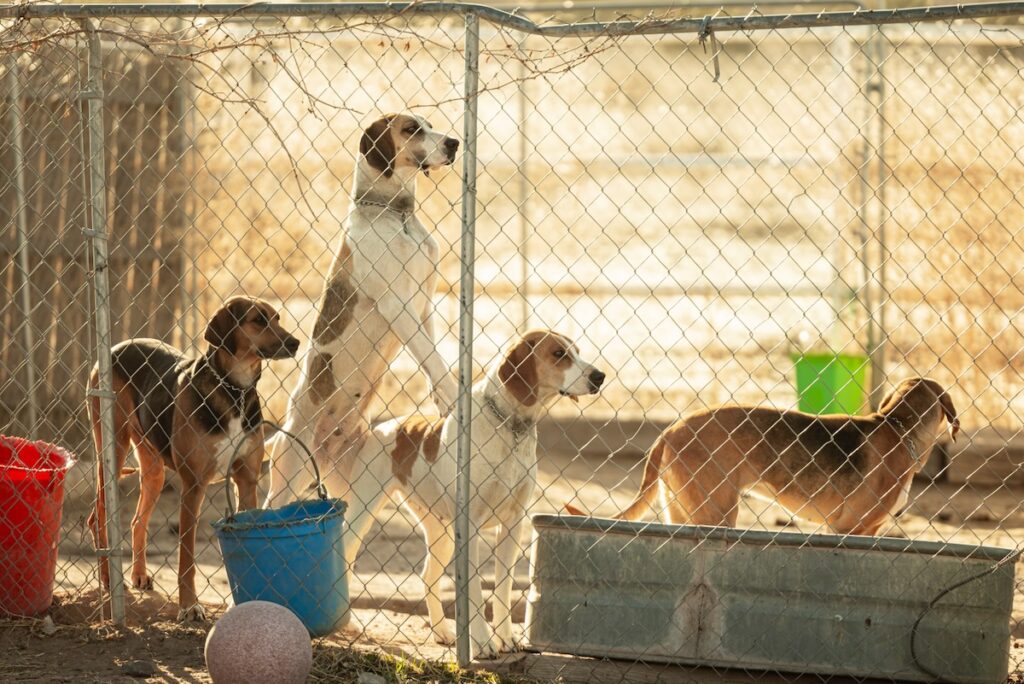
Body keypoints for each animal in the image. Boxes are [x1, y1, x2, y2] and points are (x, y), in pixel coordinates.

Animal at [87, 294, 299, 618]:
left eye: (276, 318)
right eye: (258, 320)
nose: (295, 342)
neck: (234, 390)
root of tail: (113, 349)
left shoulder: (247, 481)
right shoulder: (193, 486)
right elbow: (186, 557)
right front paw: (188, 606)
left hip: (154, 470)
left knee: (137, 521)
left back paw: (139, 575)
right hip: (113, 453)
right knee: (98, 517)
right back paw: (110, 579)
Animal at [264, 112, 460, 507]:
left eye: (431, 125)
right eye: (411, 129)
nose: (454, 143)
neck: (393, 214)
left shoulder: (424, 306)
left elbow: (431, 359)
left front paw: (442, 400)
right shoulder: (398, 305)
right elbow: (433, 359)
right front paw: (457, 396)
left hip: (350, 488)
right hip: (284, 484)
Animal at [327, 327, 598, 659]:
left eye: (577, 351)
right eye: (559, 354)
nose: (600, 376)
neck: (509, 426)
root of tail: (385, 426)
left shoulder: (513, 524)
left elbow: (503, 588)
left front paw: (505, 639)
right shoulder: (470, 526)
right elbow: (475, 590)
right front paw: (482, 644)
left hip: (442, 533)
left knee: (428, 577)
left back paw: (442, 632)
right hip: (362, 515)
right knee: (346, 558)